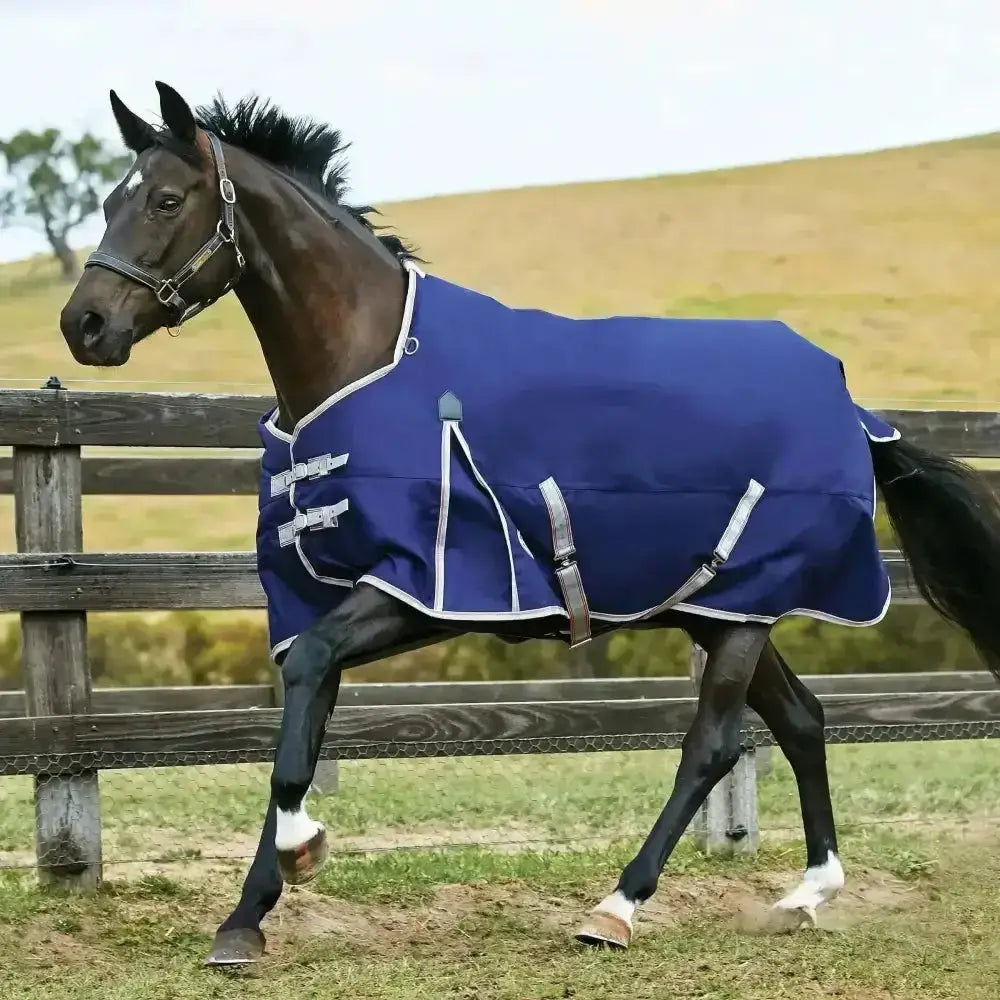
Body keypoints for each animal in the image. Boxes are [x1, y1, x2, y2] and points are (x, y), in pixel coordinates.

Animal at [58, 82, 1000, 968]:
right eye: (106, 200)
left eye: (167, 200)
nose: (84, 324)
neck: (369, 362)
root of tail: (850, 405)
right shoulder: (322, 599)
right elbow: (300, 729)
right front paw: (245, 919)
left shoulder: (421, 588)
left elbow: (303, 716)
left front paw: (300, 854)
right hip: (721, 608)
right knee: (802, 720)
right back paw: (807, 893)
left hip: (743, 611)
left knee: (712, 745)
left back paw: (617, 908)